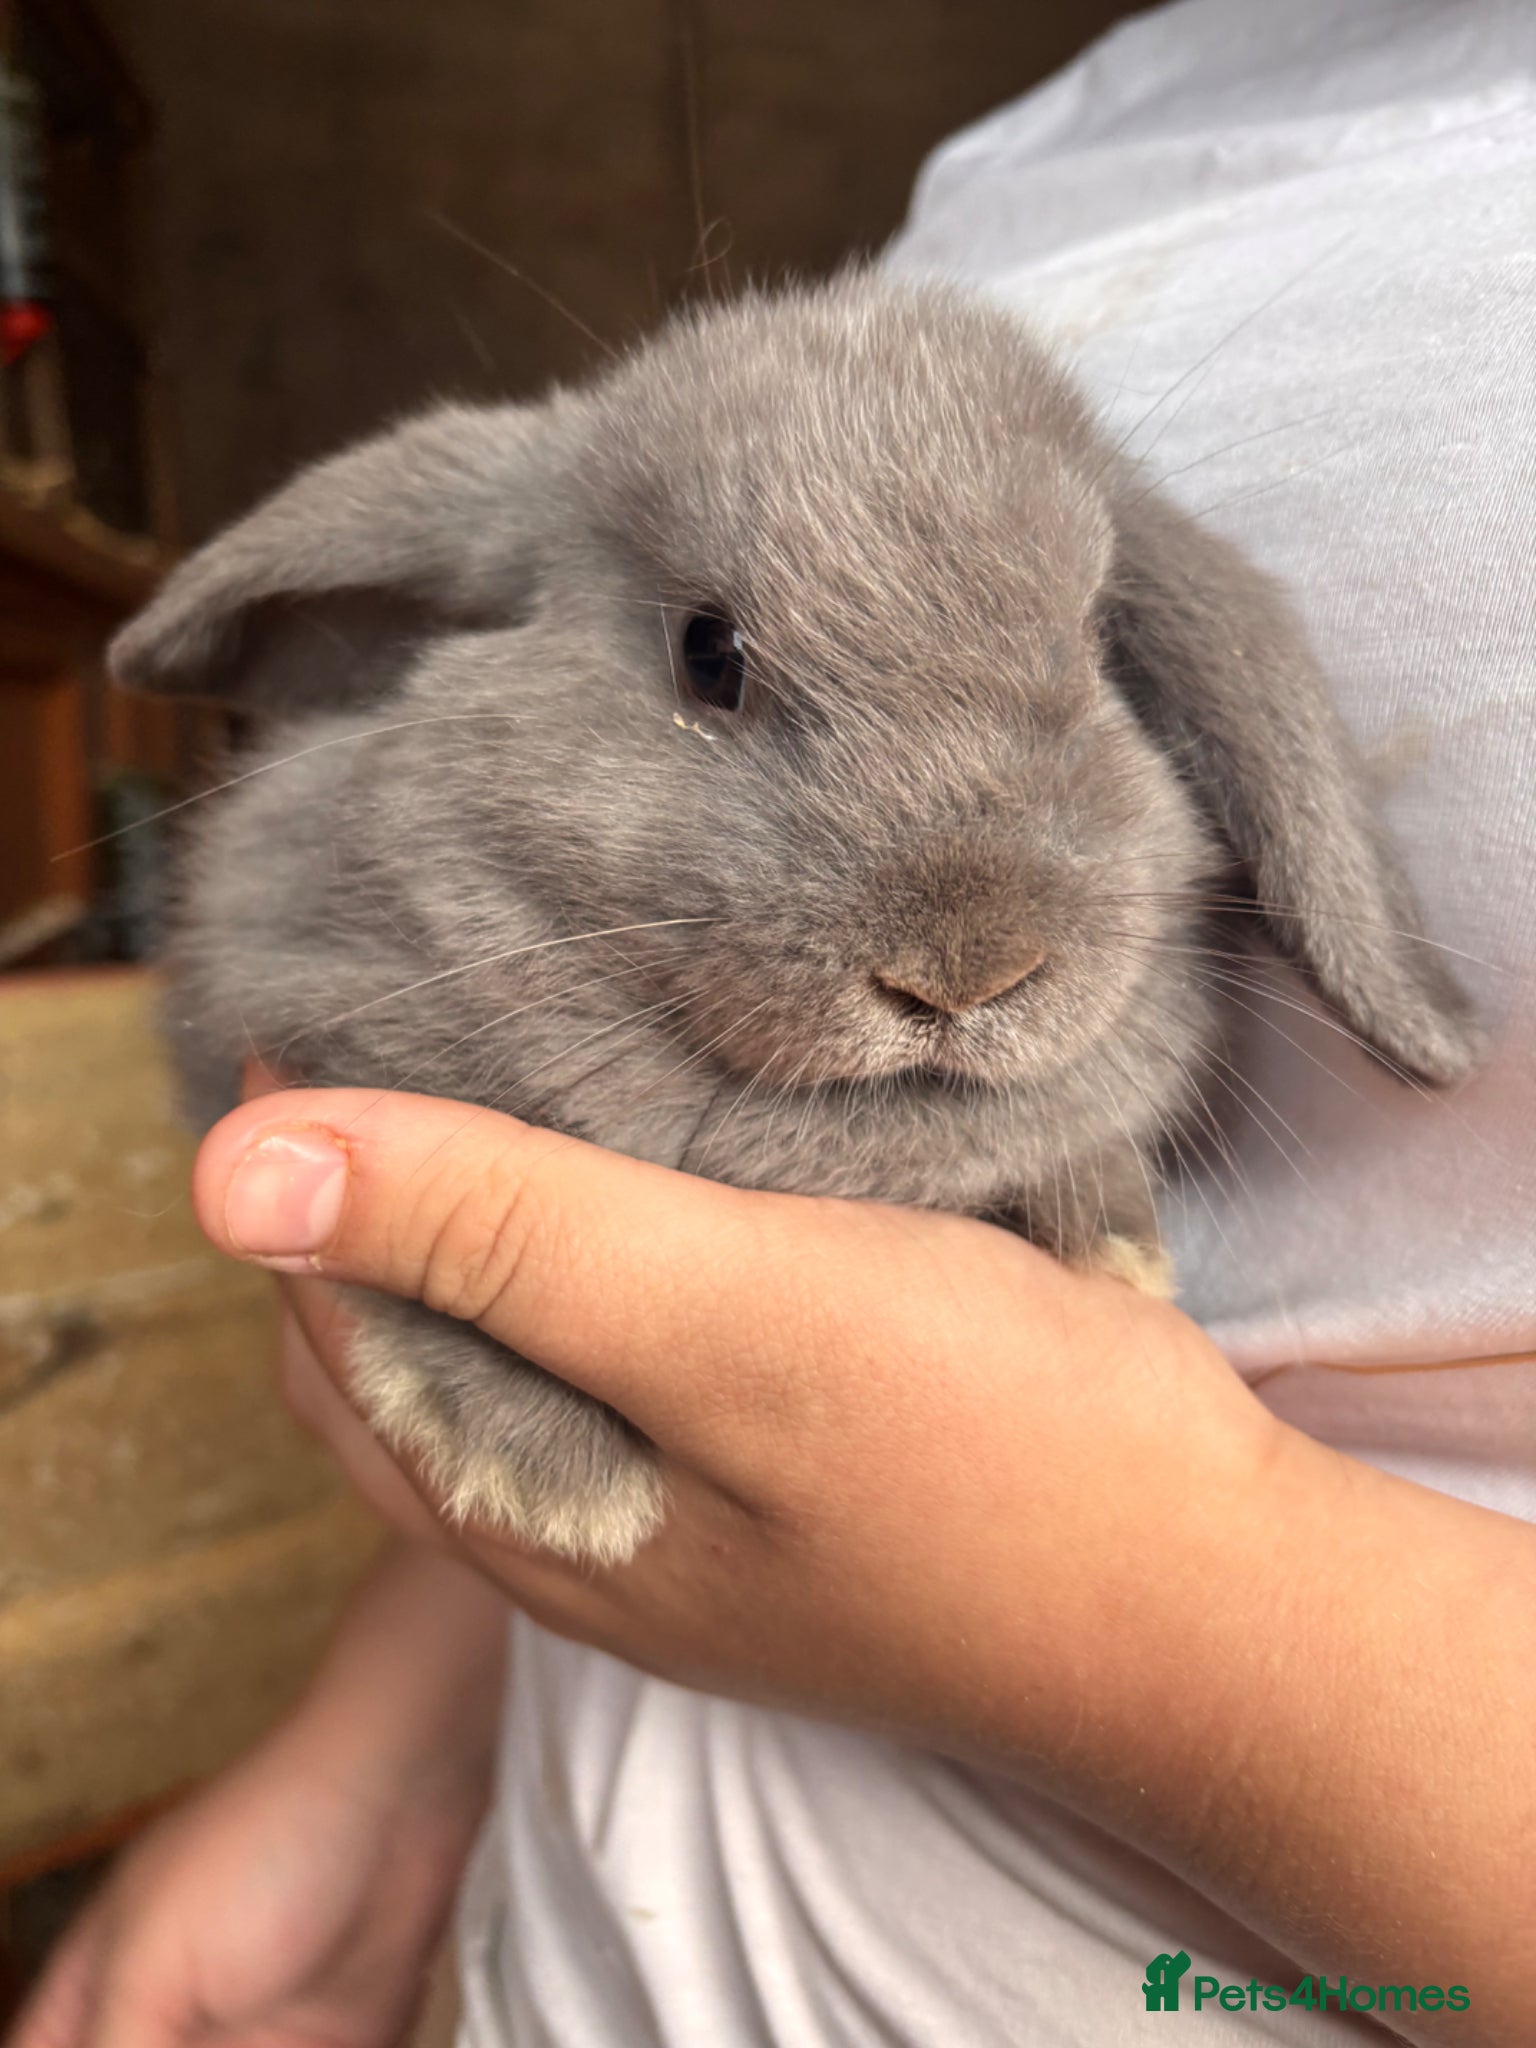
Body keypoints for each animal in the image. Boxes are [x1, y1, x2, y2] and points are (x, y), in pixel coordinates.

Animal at [110, 272, 1480, 1566]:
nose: (966, 973)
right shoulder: (305, 1019)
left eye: (1100, 645)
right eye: (708, 654)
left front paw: (1111, 1233)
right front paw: (548, 1480)